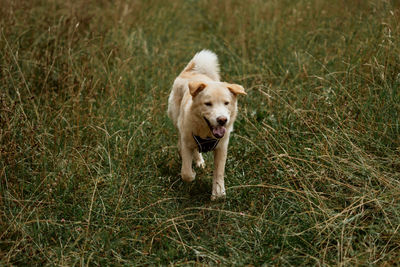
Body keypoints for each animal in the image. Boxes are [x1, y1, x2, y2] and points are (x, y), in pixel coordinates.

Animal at [167, 50, 245, 201]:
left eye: (226, 103)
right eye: (208, 104)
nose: (222, 120)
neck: (207, 133)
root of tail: (190, 72)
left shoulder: (221, 148)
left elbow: (219, 172)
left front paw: (218, 193)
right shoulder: (187, 142)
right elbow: (186, 172)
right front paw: (192, 174)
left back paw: (199, 162)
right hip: (178, 122)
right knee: (183, 143)